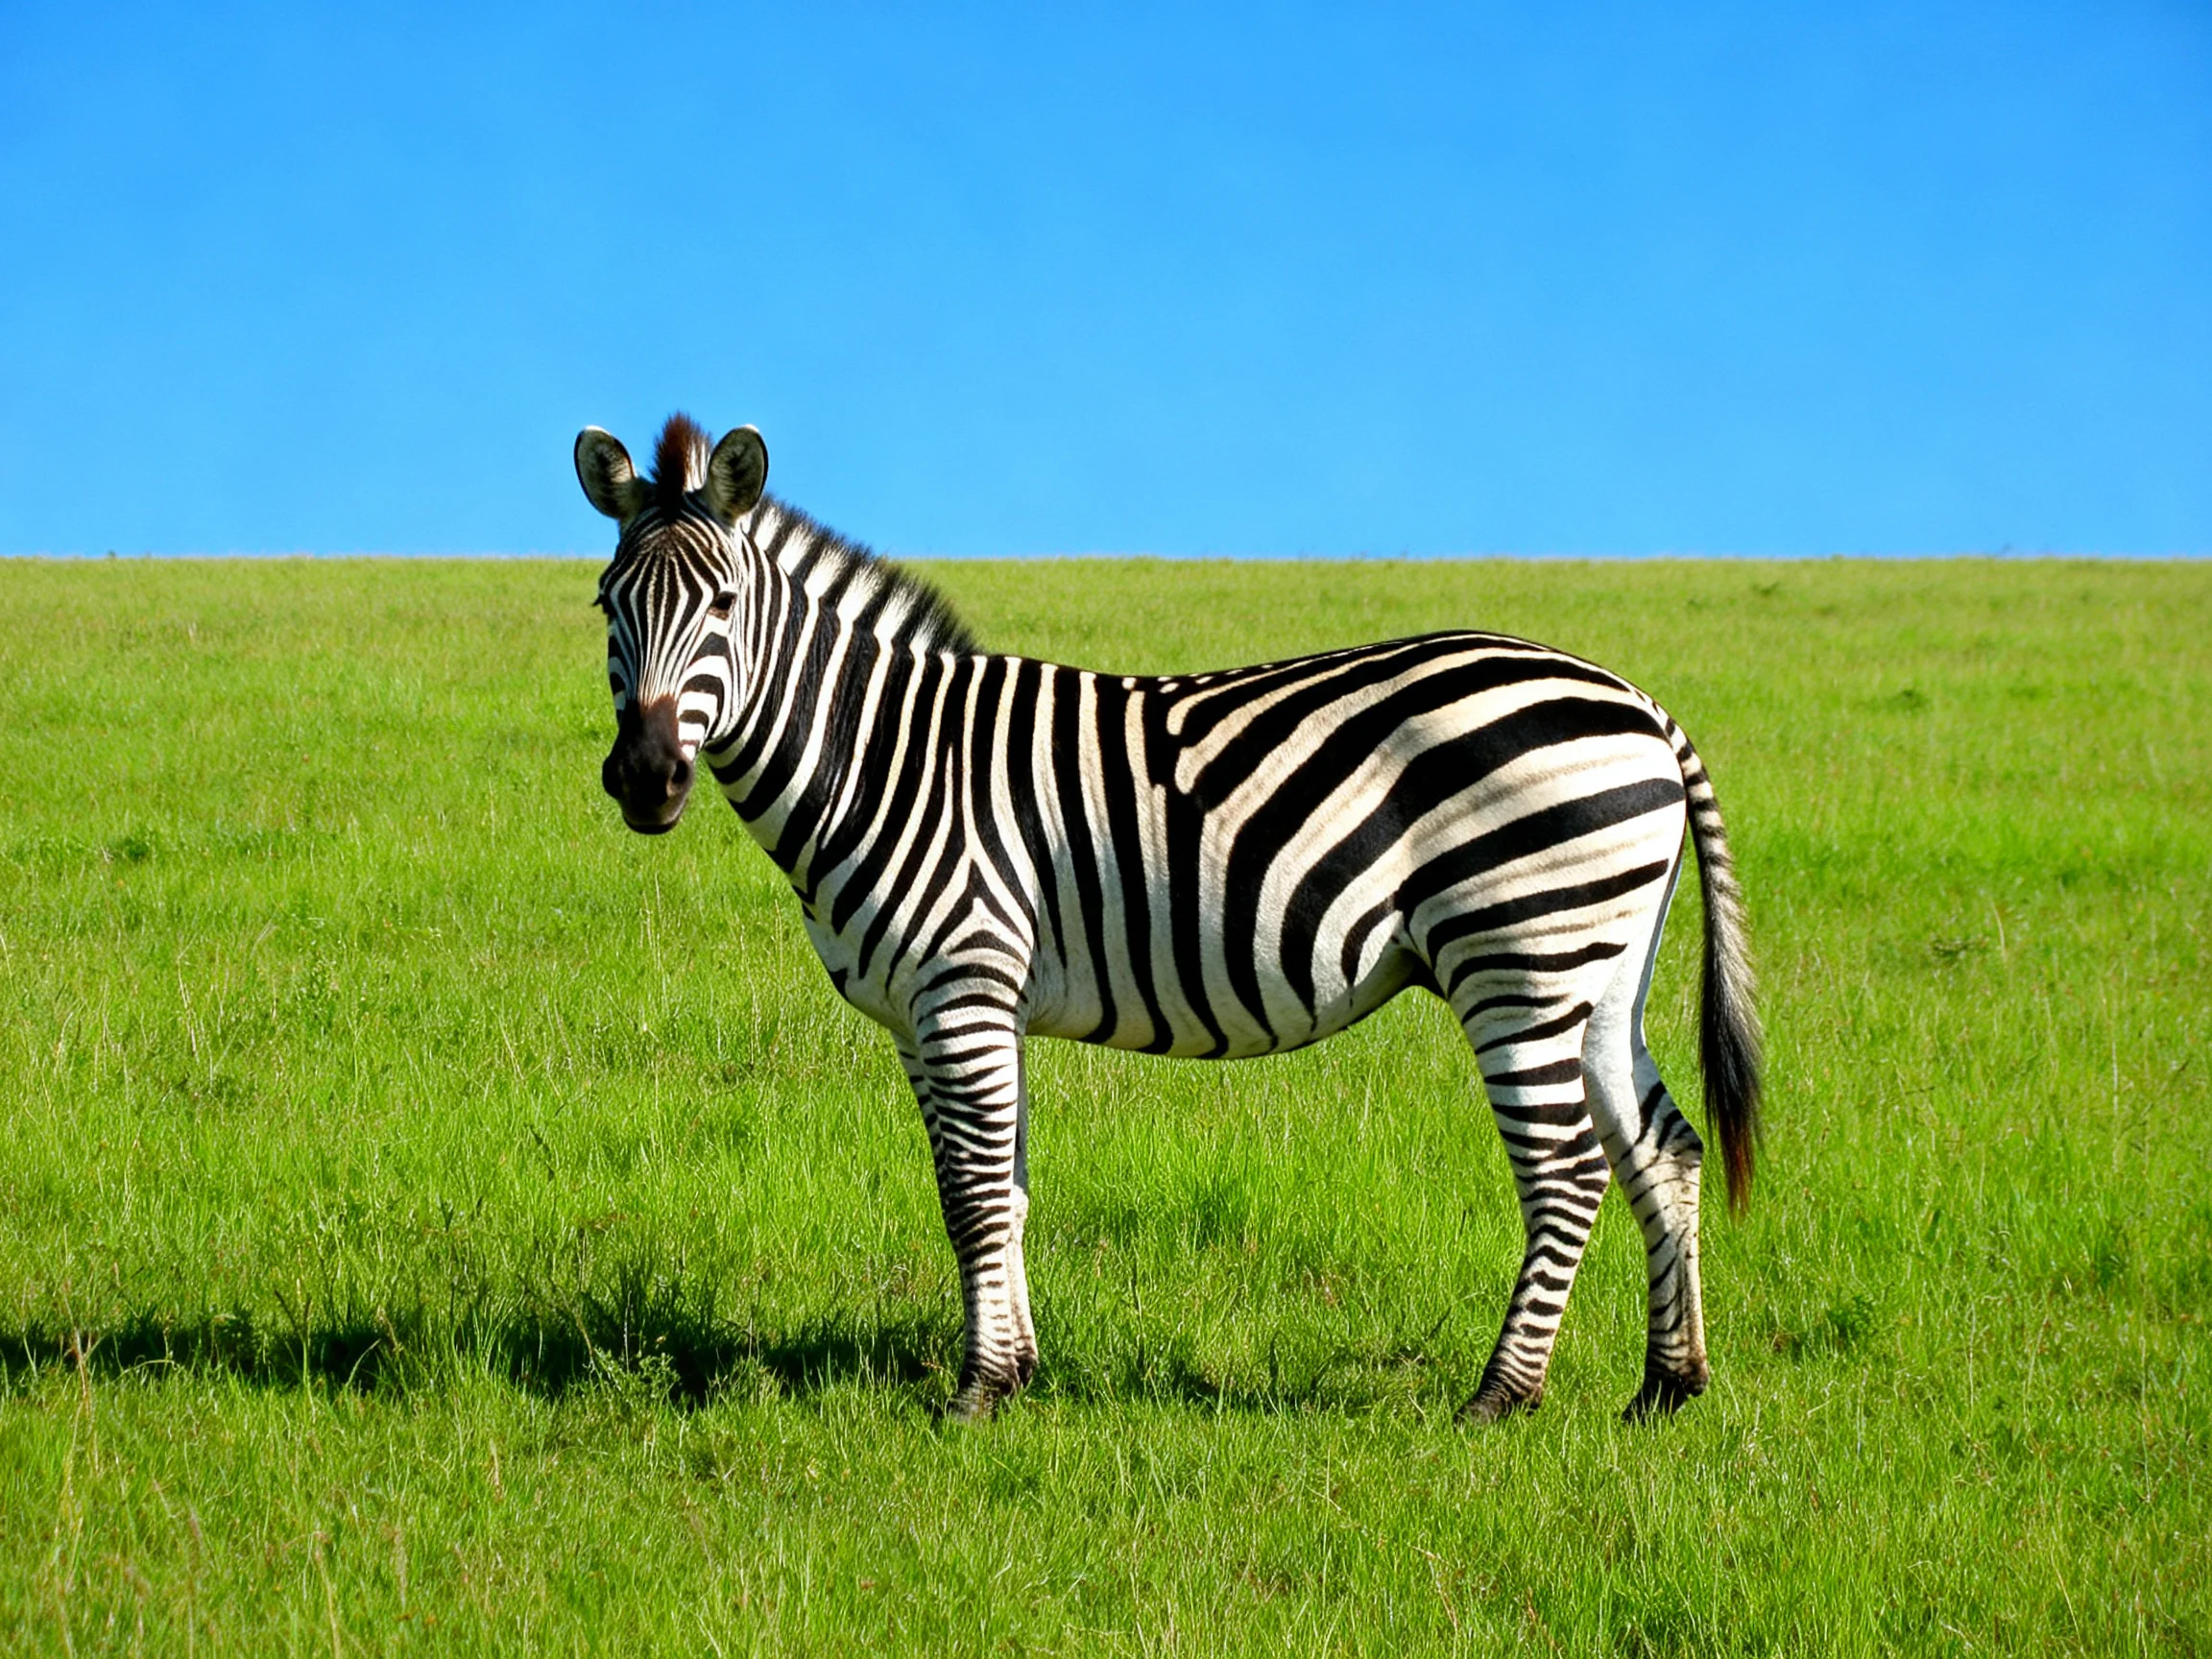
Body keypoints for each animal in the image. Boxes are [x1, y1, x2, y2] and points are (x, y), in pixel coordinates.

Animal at [576, 413, 1762, 1423]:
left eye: (724, 606)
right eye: (606, 605)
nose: (644, 781)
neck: (884, 754)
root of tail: (1642, 705)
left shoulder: (962, 984)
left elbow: (971, 1194)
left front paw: (975, 1394)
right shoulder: (938, 1013)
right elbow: (1004, 1189)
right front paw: (1020, 1372)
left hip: (1519, 955)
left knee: (1566, 1171)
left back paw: (1499, 1399)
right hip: (1598, 971)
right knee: (1665, 1149)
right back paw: (1667, 1387)